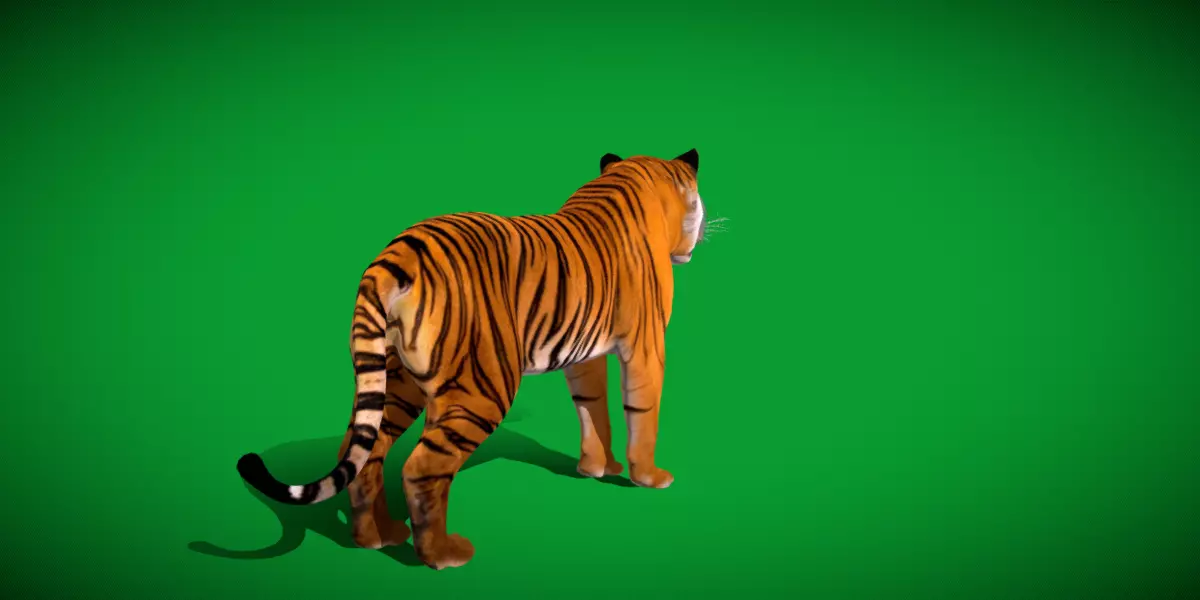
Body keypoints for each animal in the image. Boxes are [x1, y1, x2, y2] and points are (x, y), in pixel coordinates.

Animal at [236, 149, 708, 570]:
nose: (698, 238)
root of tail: (397, 253)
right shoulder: (646, 345)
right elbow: (643, 413)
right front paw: (649, 477)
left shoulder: (584, 355)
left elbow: (591, 410)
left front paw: (598, 468)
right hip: (483, 386)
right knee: (422, 466)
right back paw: (443, 555)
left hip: (396, 381)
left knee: (366, 450)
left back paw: (378, 537)